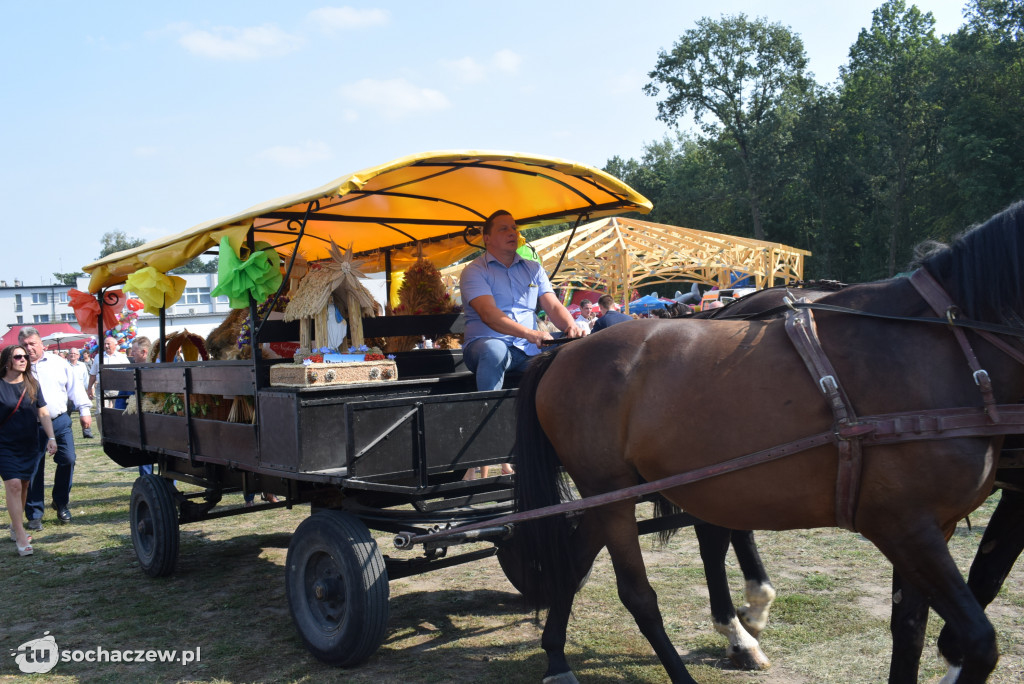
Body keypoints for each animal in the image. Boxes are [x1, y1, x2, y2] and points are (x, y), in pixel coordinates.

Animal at [516, 200, 1024, 679]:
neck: (941, 345)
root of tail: (565, 349)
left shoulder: (932, 528)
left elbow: (911, 630)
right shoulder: (906, 526)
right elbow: (979, 638)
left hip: (621, 492)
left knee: (577, 561)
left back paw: (558, 656)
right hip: (614, 492)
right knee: (639, 594)